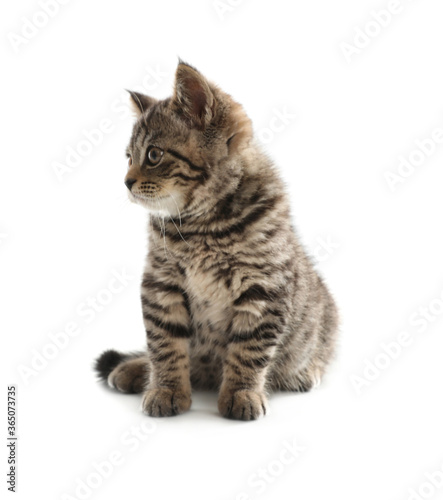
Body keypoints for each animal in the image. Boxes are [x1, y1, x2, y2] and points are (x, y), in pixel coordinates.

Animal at [96, 60, 340, 420]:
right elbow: (164, 344)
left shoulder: (264, 288)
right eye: (128, 157)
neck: (204, 225)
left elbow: (248, 350)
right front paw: (166, 388)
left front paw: (241, 393)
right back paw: (135, 368)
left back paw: (305, 371)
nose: (126, 182)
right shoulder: (161, 284)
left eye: (153, 155)